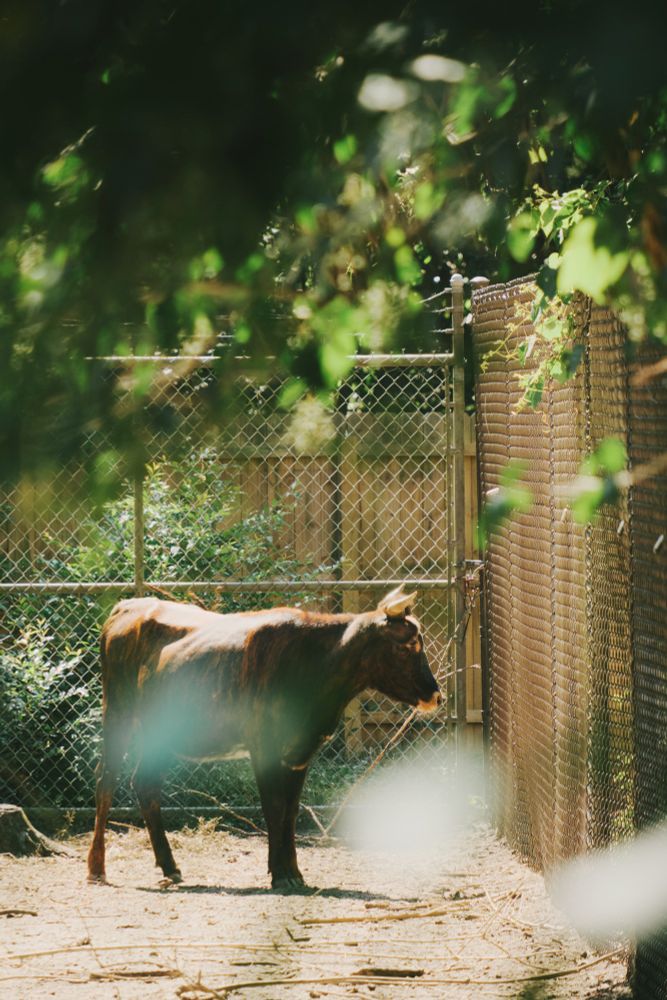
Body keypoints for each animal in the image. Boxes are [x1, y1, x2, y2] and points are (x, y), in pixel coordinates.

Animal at [87, 585, 441, 890]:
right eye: (408, 645)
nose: (436, 695)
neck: (317, 661)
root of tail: (128, 606)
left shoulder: (300, 752)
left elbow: (291, 810)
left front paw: (294, 871)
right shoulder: (263, 744)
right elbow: (273, 806)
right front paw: (280, 873)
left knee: (145, 784)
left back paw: (170, 866)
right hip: (117, 710)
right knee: (106, 779)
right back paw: (96, 868)